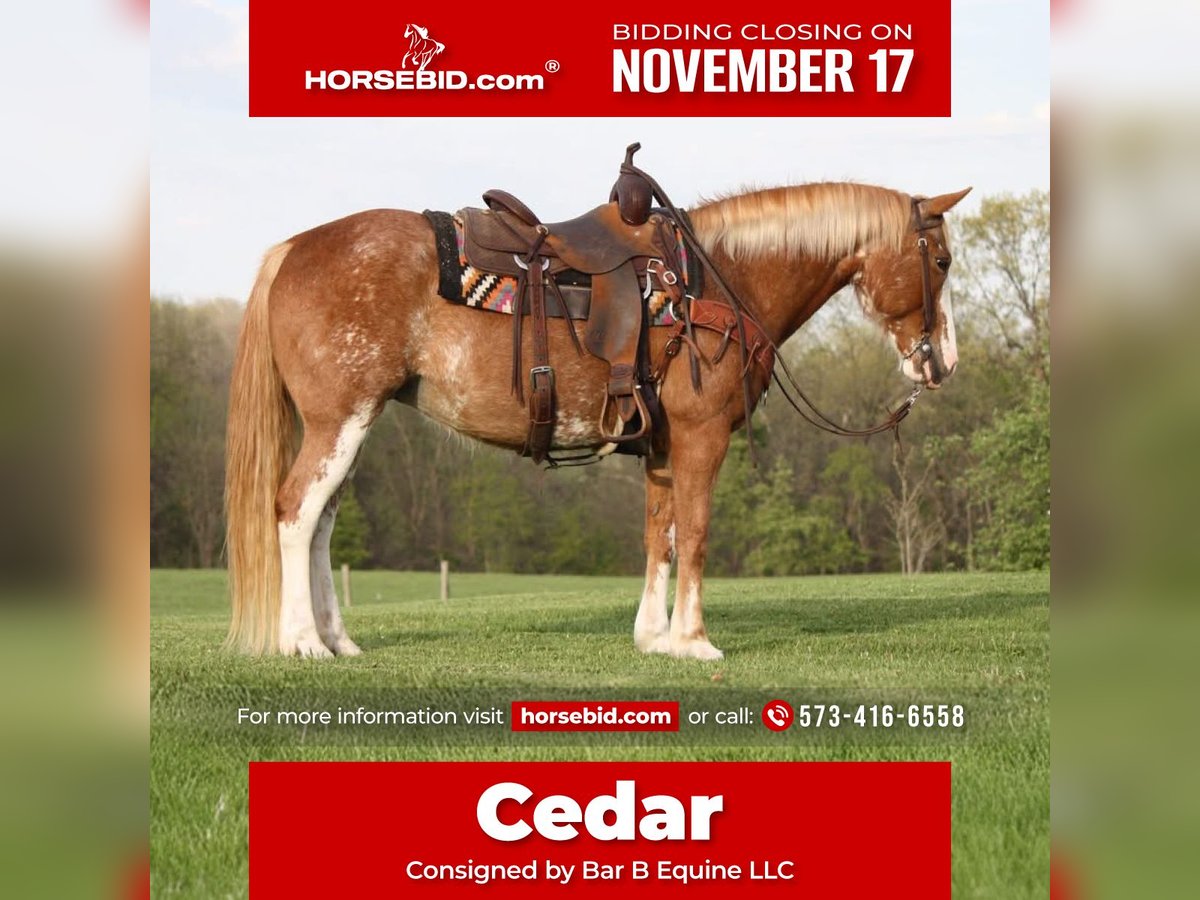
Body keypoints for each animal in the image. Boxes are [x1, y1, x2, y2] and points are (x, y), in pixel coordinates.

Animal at [224, 176, 970, 659]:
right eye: (940, 259)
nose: (944, 362)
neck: (716, 280)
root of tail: (292, 249)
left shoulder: (663, 448)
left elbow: (658, 536)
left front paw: (653, 638)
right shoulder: (701, 439)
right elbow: (695, 534)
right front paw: (694, 641)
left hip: (353, 424)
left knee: (321, 522)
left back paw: (337, 639)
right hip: (339, 421)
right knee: (296, 511)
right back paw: (302, 642)